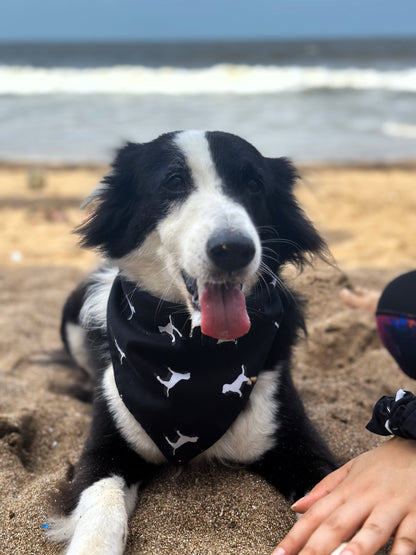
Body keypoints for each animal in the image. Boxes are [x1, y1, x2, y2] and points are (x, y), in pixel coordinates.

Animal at [51, 131, 338, 555]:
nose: (233, 249)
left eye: (254, 185)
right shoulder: (106, 449)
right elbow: (99, 509)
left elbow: (331, 505)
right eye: (173, 182)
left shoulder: (297, 444)